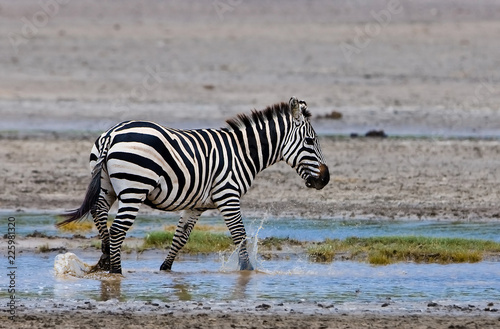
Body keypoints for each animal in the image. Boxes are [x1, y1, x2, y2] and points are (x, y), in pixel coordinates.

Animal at [57, 96, 328, 272]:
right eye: (310, 141)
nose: (325, 179)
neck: (242, 153)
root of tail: (112, 135)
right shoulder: (228, 196)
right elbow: (239, 235)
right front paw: (248, 271)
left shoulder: (197, 204)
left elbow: (180, 238)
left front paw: (165, 269)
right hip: (135, 188)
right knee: (117, 229)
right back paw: (116, 272)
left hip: (107, 185)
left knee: (99, 211)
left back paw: (104, 257)